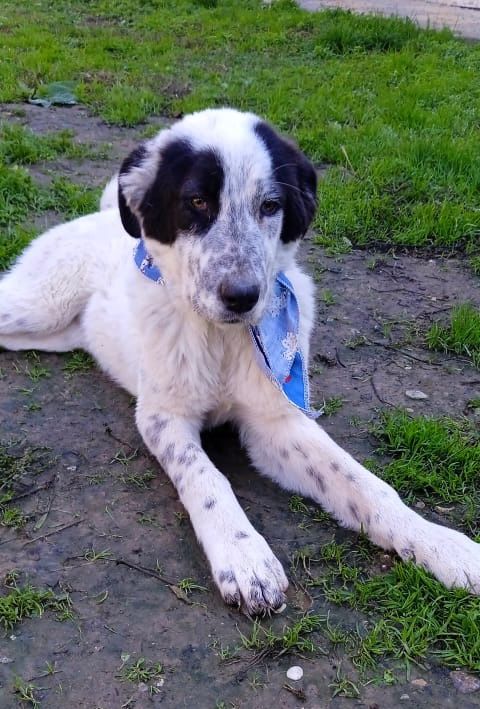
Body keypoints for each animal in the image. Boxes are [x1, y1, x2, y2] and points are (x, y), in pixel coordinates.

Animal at [1, 108, 479, 614]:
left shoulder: (276, 422)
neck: (220, 338)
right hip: (39, 305)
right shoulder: (163, 417)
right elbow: (207, 478)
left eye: (270, 205)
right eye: (196, 201)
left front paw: (440, 544)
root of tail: (103, 215)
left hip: (53, 332)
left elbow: (362, 482)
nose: (243, 296)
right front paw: (243, 554)